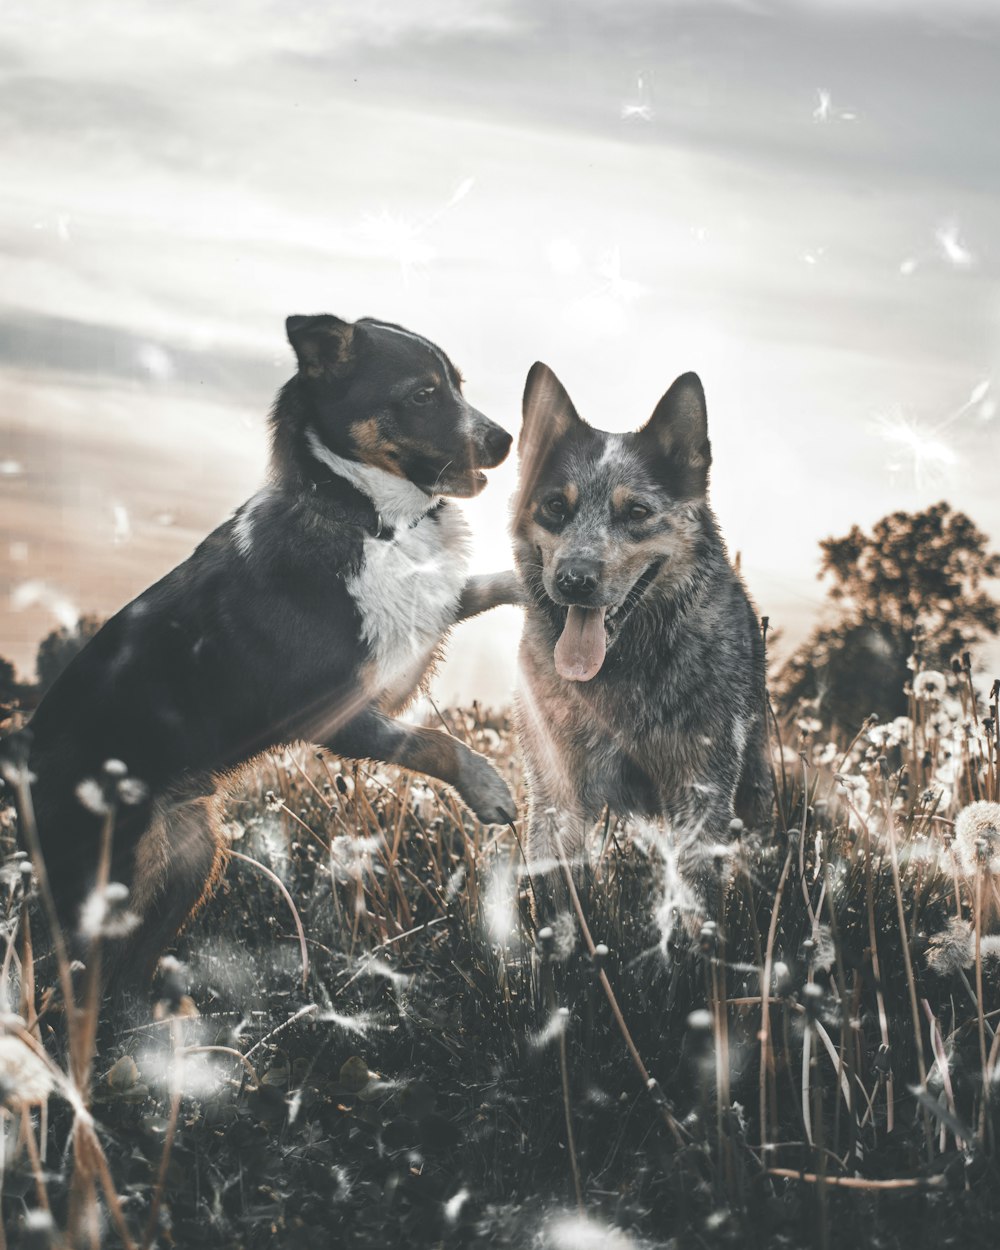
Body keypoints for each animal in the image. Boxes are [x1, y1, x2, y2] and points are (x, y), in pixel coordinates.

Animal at [27, 317, 520, 1000]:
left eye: (458, 385)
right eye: (423, 394)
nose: (505, 440)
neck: (364, 514)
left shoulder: (408, 641)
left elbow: (488, 585)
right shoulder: (337, 712)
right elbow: (437, 744)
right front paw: (489, 787)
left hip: (190, 858)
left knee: (124, 975)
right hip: (112, 879)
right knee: (65, 981)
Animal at [512, 362, 770, 930]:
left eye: (635, 511)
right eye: (555, 506)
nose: (574, 581)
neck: (622, 669)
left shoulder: (701, 793)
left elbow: (697, 902)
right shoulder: (555, 795)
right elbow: (561, 902)